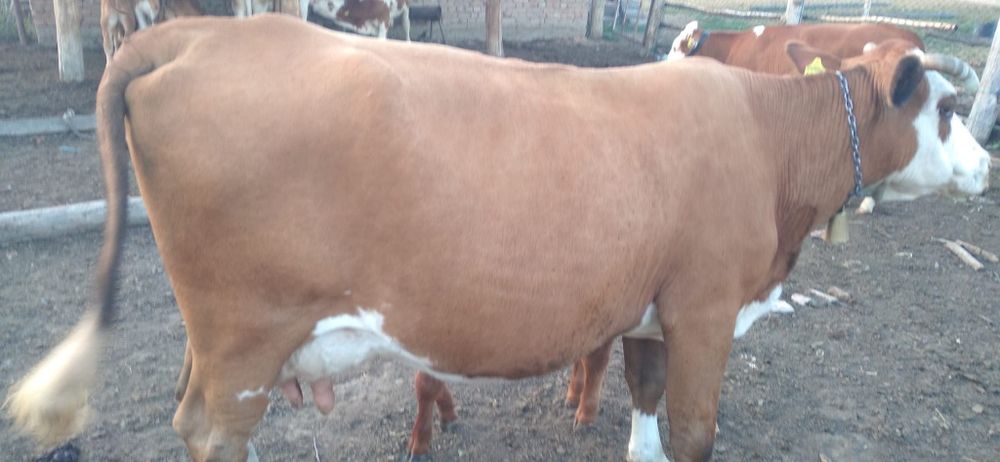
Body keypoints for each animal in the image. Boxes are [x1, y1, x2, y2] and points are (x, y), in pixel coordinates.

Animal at [5, 14, 988, 462]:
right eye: (946, 109)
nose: (987, 165)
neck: (764, 133)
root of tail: (200, 30)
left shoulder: (652, 310)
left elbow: (644, 405)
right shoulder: (709, 308)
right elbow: (694, 429)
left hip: (215, 342)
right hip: (247, 341)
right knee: (214, 432)